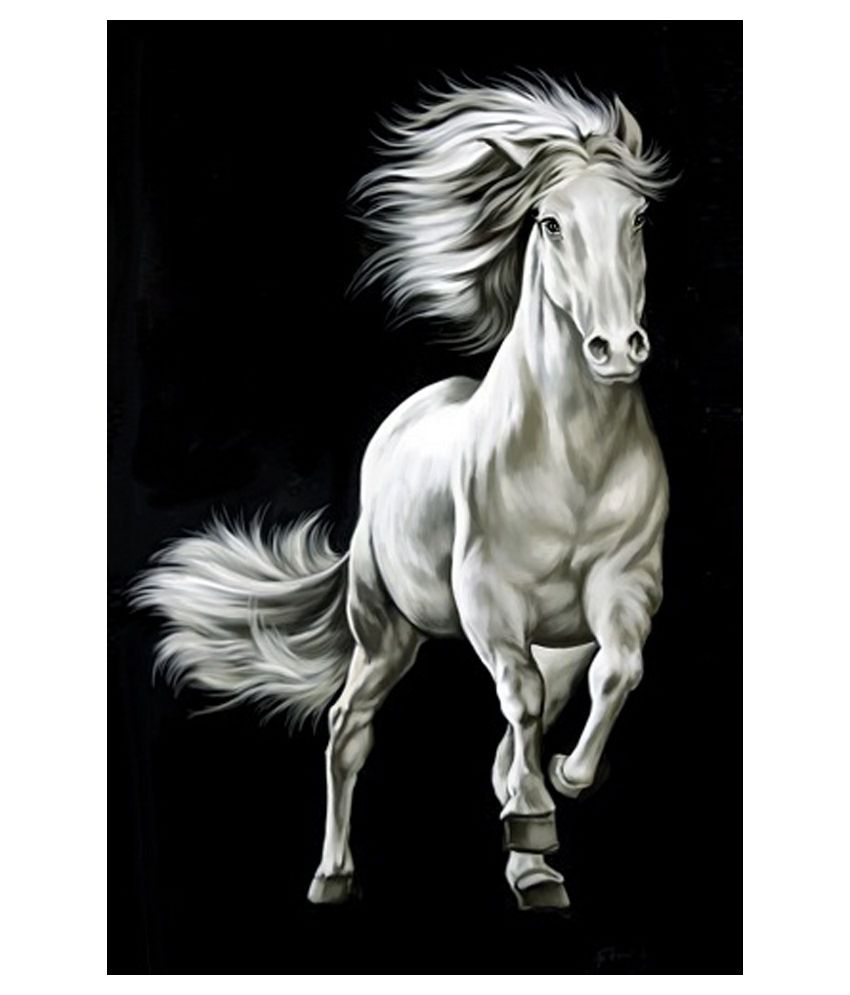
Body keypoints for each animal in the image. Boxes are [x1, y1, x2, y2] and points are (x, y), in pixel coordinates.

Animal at [133, 76, 674, 911]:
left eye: (637, 216)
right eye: (551, 222)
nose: (616, 349)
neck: (572, 460)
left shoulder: (623, 590)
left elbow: (616, 675)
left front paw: (554, 796)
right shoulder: (490, 603)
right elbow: (520, 702)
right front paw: (536, 831)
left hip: (551, 637)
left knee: (537, 708)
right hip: (383, 628)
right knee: (348, 728)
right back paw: (332, 876)